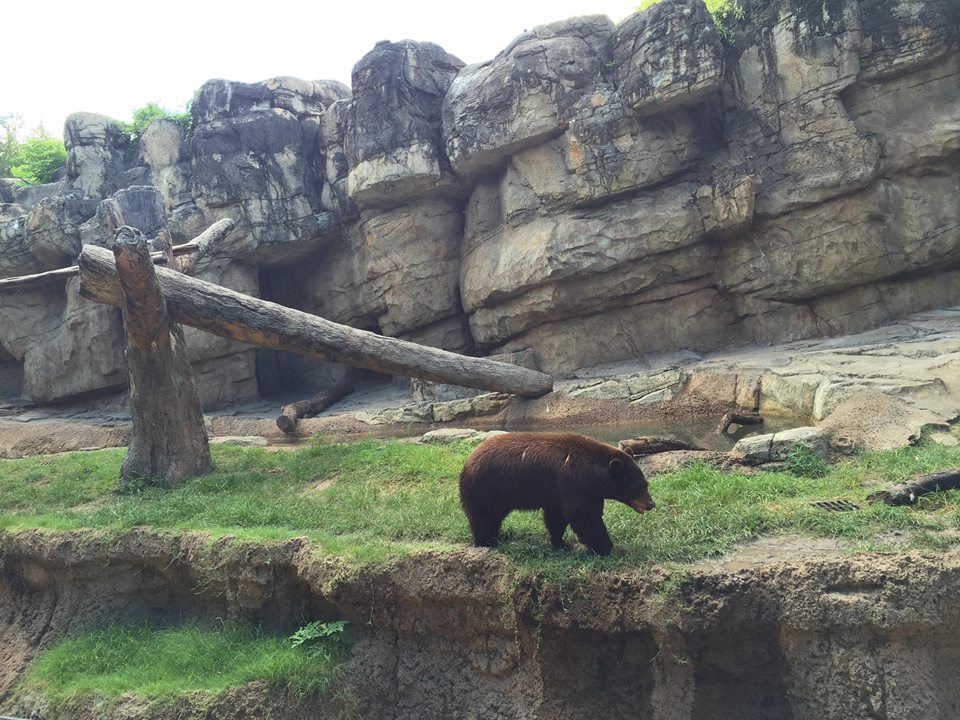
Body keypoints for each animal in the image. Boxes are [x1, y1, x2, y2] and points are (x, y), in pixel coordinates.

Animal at [459, 432, 655, 556]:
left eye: (646, 484)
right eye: (638, 488)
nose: (651, 504)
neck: (593, 473)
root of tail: (468, 461)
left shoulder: (560, 492)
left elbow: (556, 517)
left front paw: (560, 543)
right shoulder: (574, 484)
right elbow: (585, 517)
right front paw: (607, 548)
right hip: (486, 487)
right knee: (484, 517)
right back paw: (486, 542)